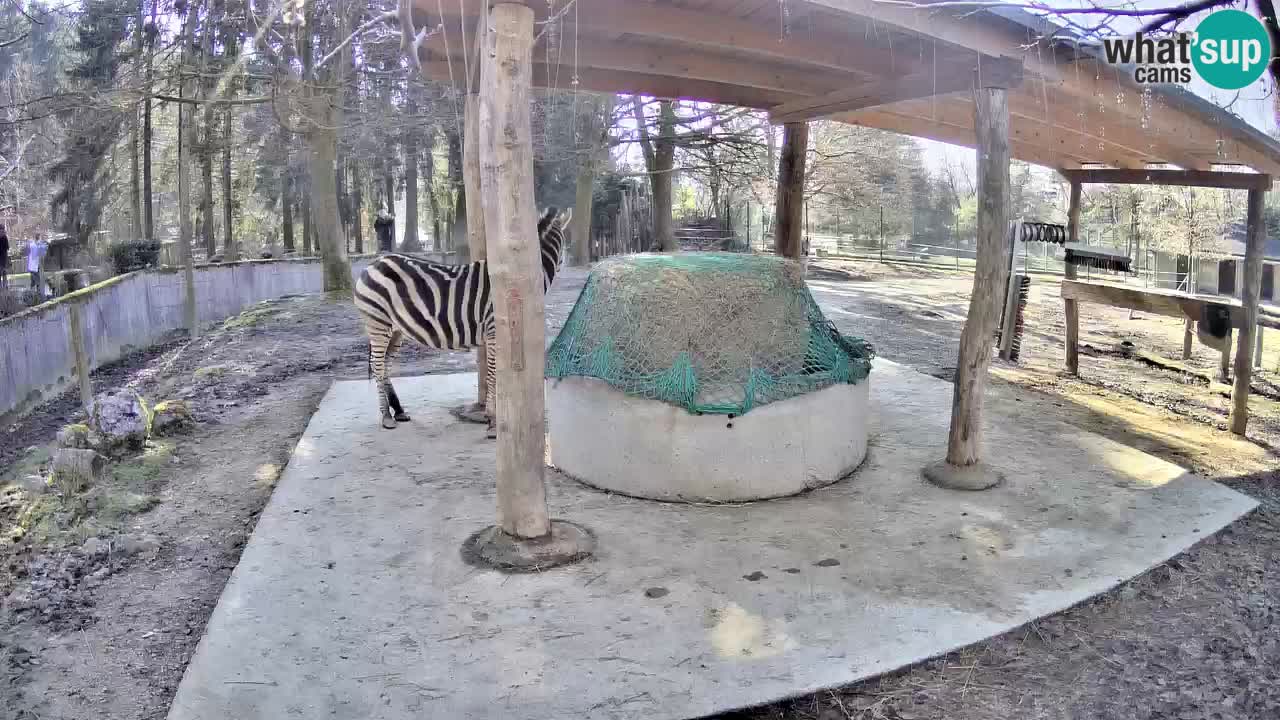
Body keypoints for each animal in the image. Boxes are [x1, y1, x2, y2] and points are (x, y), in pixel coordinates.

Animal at [350, 204, 570, 435]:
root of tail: (374, 263)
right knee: (377, 365)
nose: (564, 264)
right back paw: (386, 416)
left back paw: (398, 411)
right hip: (377, 322)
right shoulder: (494, 330)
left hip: (395, 329)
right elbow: (493, 374)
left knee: (385, 365)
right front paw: (492, 421)